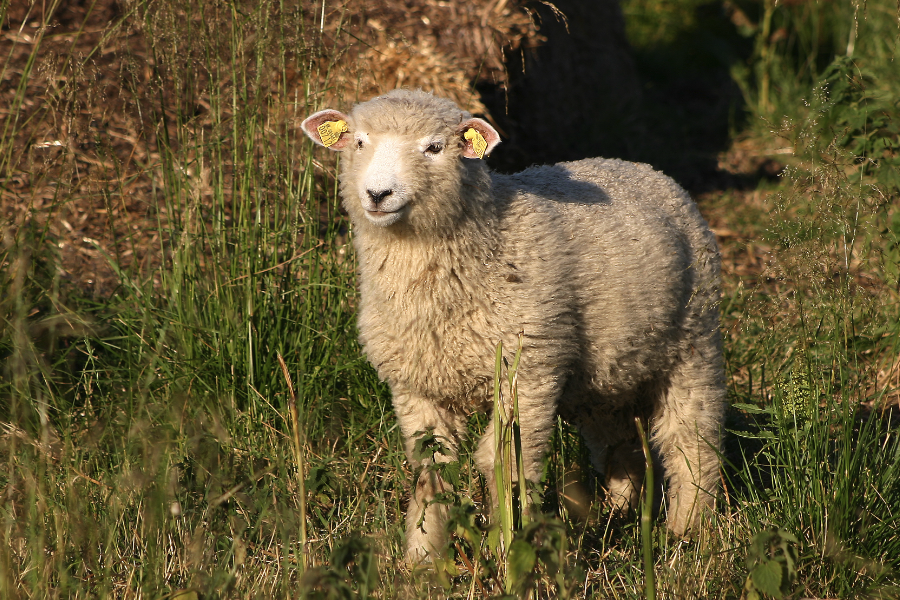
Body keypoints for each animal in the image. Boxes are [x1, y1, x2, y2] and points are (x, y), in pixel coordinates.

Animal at [300, 89, 724, 564]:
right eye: (358, 142)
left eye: (434, 147)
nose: (377, 193)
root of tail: (638, 166)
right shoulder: (416, 386)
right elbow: (430, 469)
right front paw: (422, 559)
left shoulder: (528, 373)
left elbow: (503, 463)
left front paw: (509, 551)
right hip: (603, 372)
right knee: (617, 440)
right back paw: (618, 513)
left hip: (693, 339)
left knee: (691, 439)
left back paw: (688, 530)